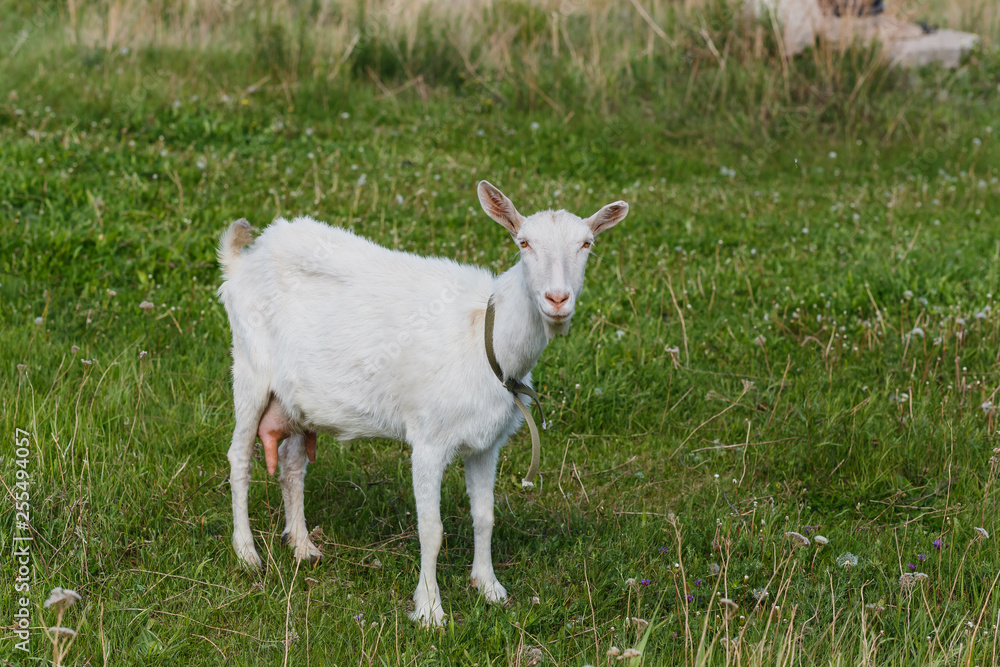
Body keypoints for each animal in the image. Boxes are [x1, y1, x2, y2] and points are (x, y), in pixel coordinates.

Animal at [217, 181, 628, 626]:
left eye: (586, 244)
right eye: (524, 243)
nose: (557, 299)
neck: (486, 339)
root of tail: (242, 261)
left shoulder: (486, 444)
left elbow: (485, 517)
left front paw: (489, 587)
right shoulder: (429, 441)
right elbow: (432, 530)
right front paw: (430, 609)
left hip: (295, 398)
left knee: (292, 466)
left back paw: (303, 547)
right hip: (250, 366)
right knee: (239, 455)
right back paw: (247, 553)